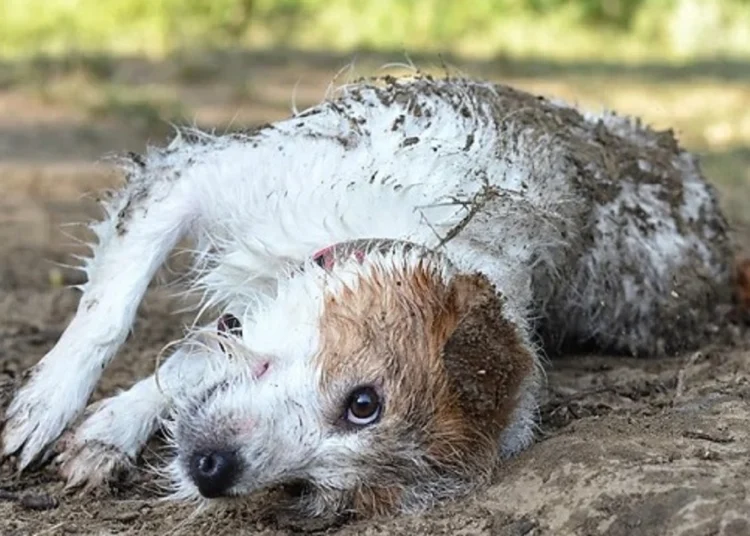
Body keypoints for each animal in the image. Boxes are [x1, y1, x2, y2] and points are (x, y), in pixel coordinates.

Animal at [0, 74, 736, 516]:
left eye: (307, 488)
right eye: (364, 403)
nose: (216, 471)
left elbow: (190, 364)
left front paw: (109, 431)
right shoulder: (194, 176)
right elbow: (110, 312)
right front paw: (45, 407)